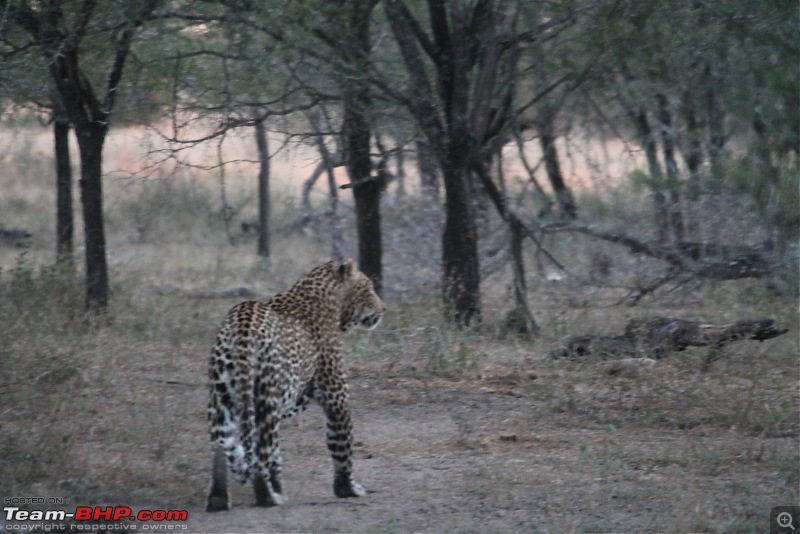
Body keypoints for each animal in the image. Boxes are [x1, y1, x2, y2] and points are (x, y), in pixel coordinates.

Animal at [203, 262, 384, 512]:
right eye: (368, 290)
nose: (383, 309)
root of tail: (242, 324)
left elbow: (275, 454)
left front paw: (278, 485)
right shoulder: (336, 396)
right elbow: (342, 446)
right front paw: (348, 489)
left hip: (222, 399)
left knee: (222, 446)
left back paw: (219, 498)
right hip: (266, 398)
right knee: (259, 455)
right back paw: (268, 497)